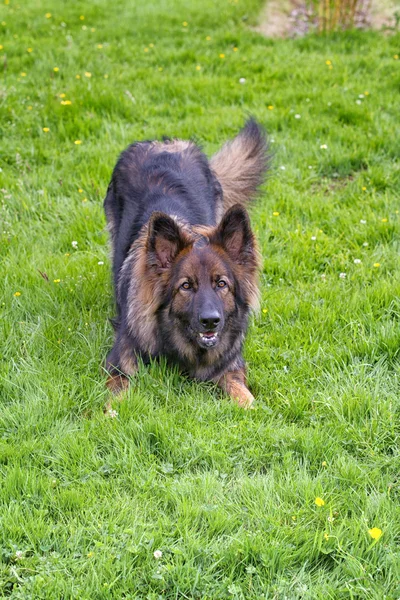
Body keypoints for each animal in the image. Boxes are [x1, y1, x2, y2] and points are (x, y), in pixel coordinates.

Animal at [104, 117, 268, 408]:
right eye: (186, 286)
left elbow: (244, 394)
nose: (211, 321)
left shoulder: (231, 367)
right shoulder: (119, 365)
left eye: (221, 284)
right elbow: (116, 396)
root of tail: (163, 143)